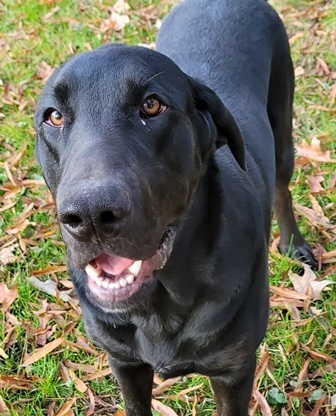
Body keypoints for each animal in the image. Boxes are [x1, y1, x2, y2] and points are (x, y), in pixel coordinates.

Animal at [35, 0, 316, 414]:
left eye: (152, 105)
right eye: (53, 116)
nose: (90, 217)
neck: (160, 306)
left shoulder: (234, 372)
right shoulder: (125, 362)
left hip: (283, 125)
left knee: (283, 187)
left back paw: (294, 244)